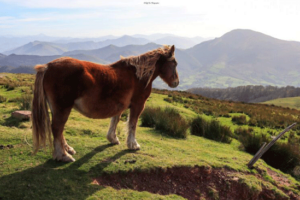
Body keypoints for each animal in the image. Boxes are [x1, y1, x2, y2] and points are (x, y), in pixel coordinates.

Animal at [31, 44, 179, 162]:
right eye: (174, 63)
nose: (176, 82)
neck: (138, 75)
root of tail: (47, 67)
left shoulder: (120, 105)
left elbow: (115, 120)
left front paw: (113, 139)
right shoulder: (138, 105)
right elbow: (132, 124)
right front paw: (133, 145)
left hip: (57, 108)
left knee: (59, 129)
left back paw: (68, 149)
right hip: (63, 107)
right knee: (57, 128)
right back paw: (63, 155)